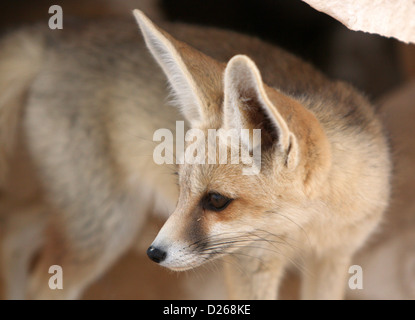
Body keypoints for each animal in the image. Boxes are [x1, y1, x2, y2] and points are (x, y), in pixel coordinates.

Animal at [0, 10, 390, 300]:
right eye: (182, 186)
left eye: (216, 200)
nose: (154, 254)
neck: (312, 228)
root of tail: (62, 40)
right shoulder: (251, 263)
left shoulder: (335, 256)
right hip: (106, 226)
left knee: (13, 233)